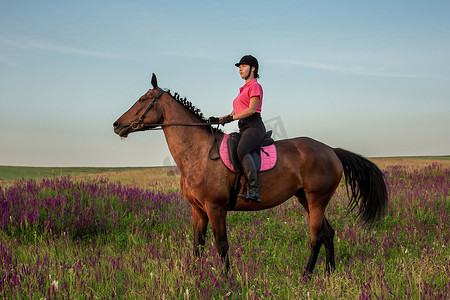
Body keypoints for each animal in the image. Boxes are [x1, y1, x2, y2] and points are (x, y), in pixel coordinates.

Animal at [112, 74, 386, 276]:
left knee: (316, 237)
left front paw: (226, 281)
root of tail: (331, 150)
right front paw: (194, 277)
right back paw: (329, 274)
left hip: (316, 199)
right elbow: (197, 245)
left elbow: (221, 246)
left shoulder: (215, 208)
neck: (198, 151)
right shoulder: (198, 209)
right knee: (328, 234)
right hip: (305, 199)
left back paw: (306, 275)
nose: (117, 125)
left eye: (142, 99)